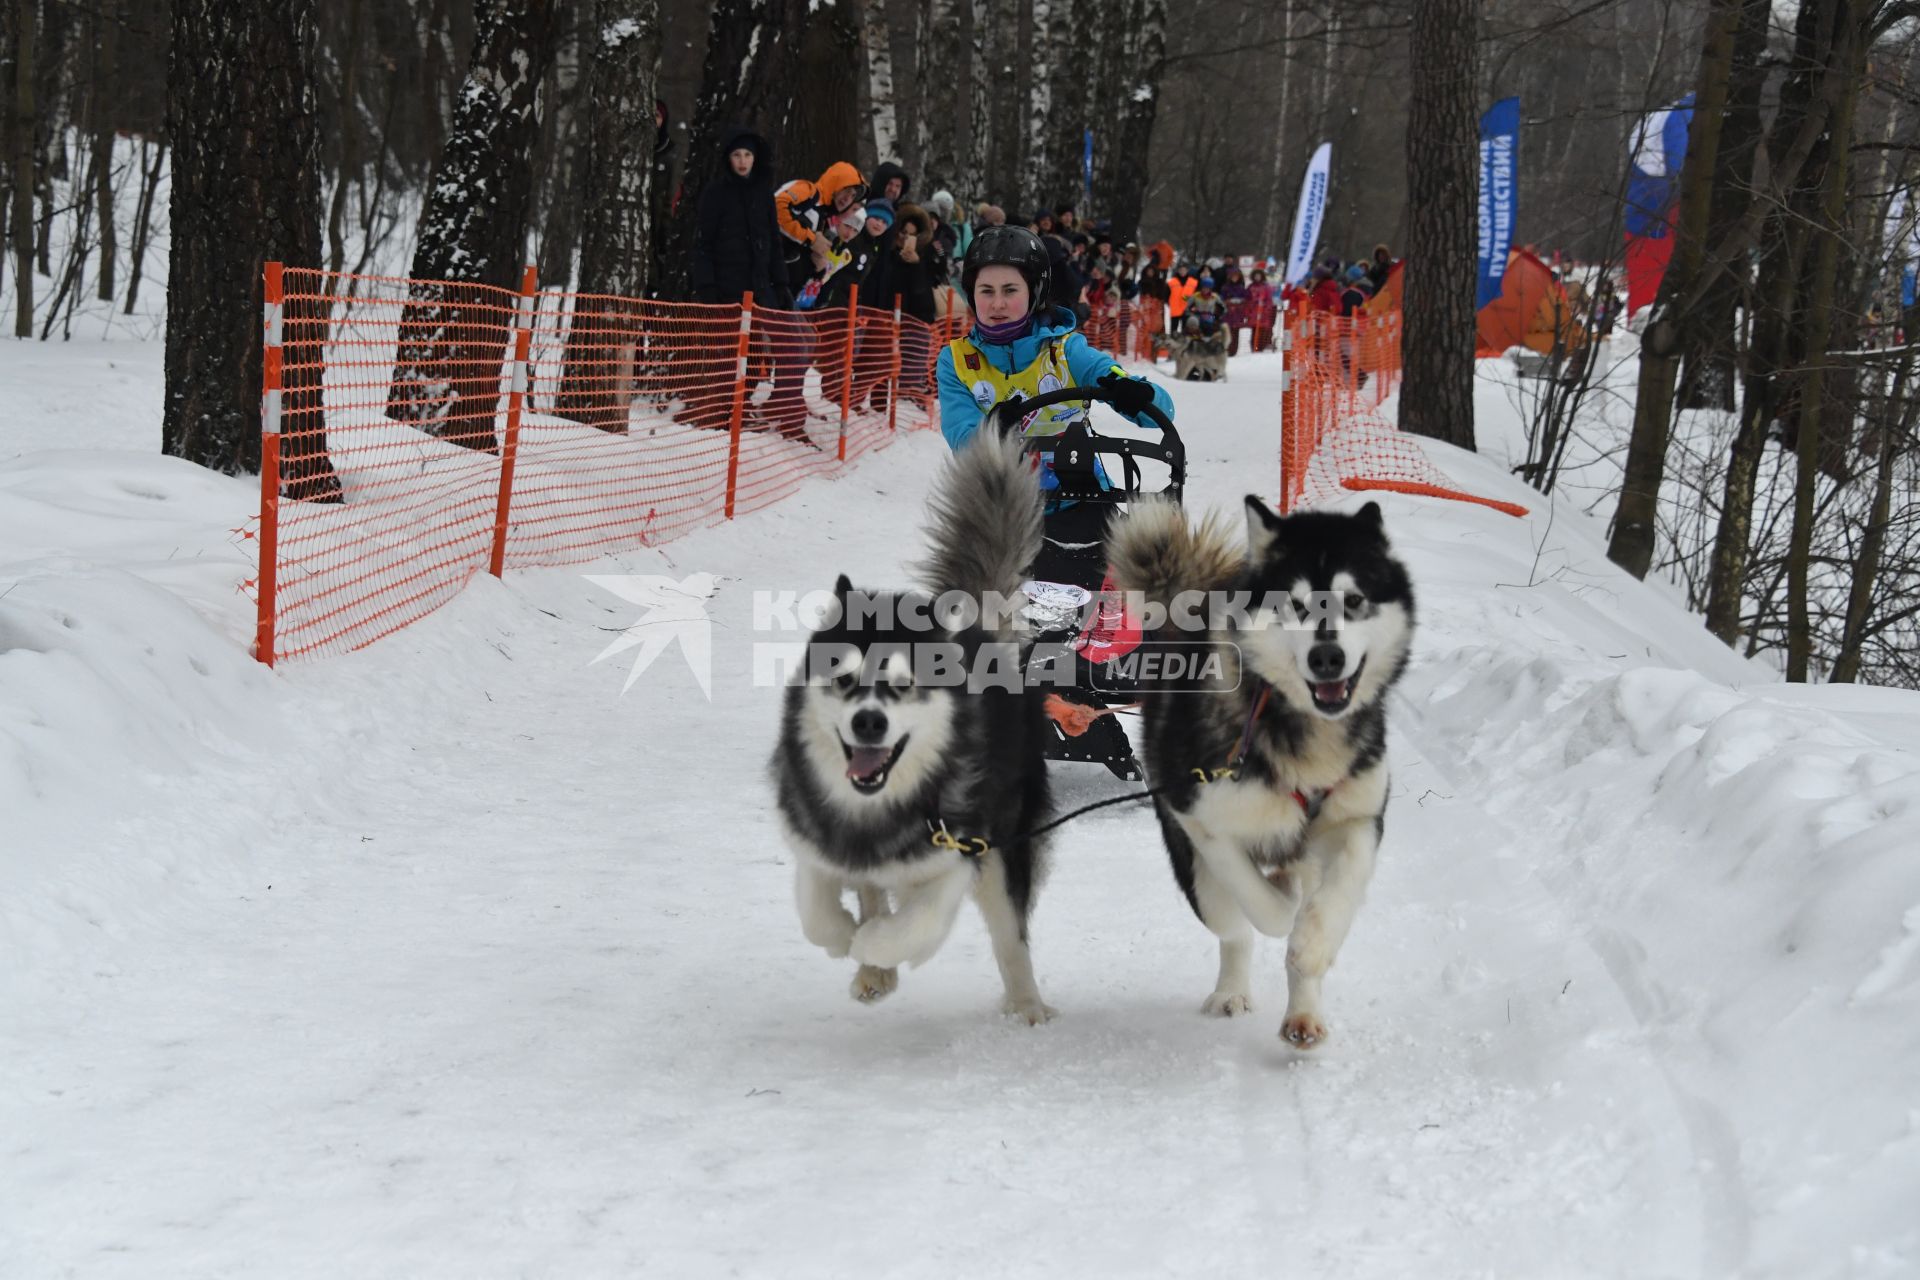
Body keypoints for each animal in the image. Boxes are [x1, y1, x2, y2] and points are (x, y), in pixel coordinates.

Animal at [768, 435, 1067, 1028]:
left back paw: (1026, 1005)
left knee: (1010, 936)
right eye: (844, 678)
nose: (868, 721)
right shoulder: (815, 837)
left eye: (904, 685)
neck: (876, 810)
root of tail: (978, 633)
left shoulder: (959, 851)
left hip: (1007, 840)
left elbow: (914, 924)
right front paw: (848, 942)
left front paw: (874, 946)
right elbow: (817, 908)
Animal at [1113, 495, 1413, 1043]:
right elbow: (1264, 909)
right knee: (1233, 928)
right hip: (1197, 873)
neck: (1302, 730)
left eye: (1354, 600)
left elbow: (1337, 893)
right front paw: (1283, 905)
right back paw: (1233, 987)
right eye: (1297, 604)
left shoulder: (1359, 816)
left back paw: (1304, 1014)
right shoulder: (1201, 817)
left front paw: (1312, 945)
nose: (1327, 656)